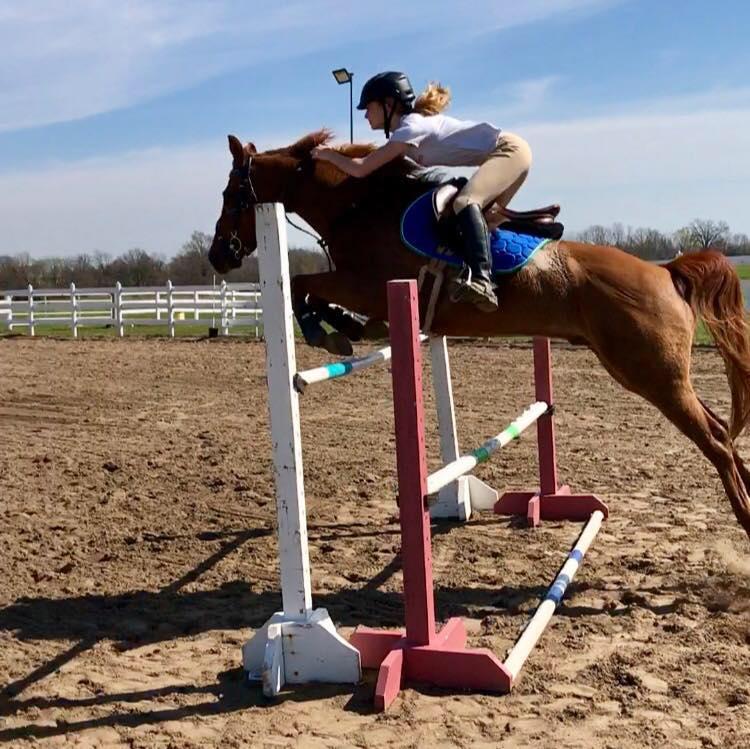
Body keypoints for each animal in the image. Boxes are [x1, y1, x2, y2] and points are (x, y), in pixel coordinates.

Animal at [208, 129, 750, 541]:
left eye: (232, 195)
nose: (219, 255)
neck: (358, 206)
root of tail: (666, 271)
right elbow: (318, 294)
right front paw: (344, 328)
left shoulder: (367, 283)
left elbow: (304, 285)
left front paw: (330, 332)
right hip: (657, 374)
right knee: (722, 428)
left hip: (651, 374)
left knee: (715, 441)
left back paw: (744, 517)